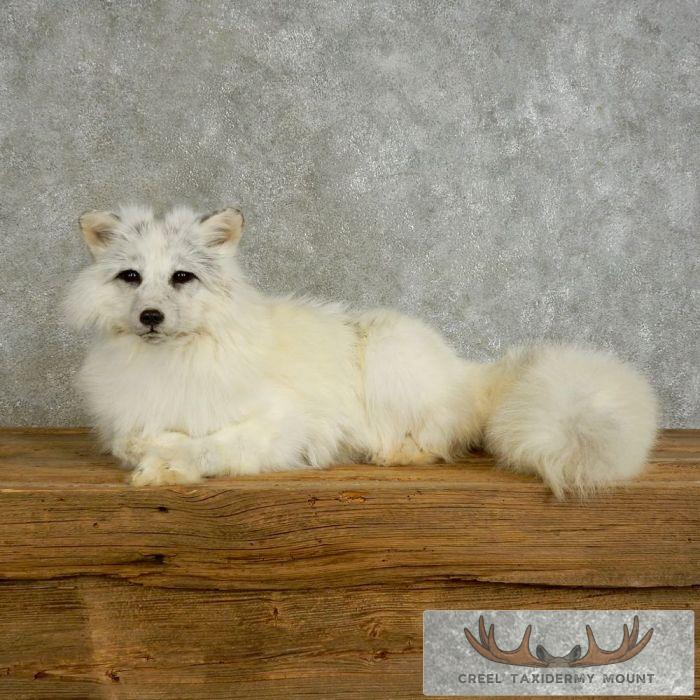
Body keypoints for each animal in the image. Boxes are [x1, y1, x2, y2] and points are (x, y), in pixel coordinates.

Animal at [65, 205, 657, 497]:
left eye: (182, 278)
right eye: (131, 277)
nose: (151, 317)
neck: (172, 361)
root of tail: (467, 372)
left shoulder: (284, 423)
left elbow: (212, 446)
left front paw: (170, 464)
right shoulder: (125, 422)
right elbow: (136, 439)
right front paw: (154, 450)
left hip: (389, 352)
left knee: (438, 441)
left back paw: (389, 451)